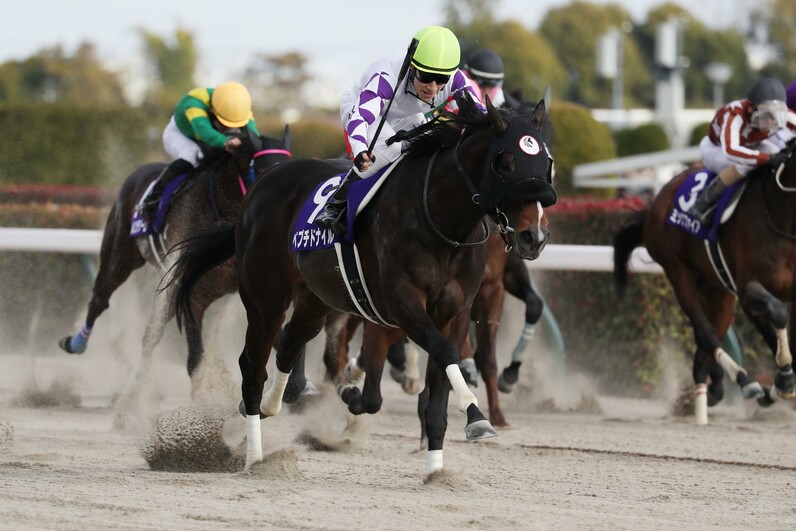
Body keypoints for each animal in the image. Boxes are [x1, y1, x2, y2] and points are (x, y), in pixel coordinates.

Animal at [59, 129, 290, 402]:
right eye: (263, 168)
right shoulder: (192, 294)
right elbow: (195, 359)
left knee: (151, 331)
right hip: (119, 256)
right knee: (102, 301)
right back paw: (80, 347)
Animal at [171, 92, 552, 474]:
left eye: (546, 161)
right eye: (505, 162)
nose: (533, 236)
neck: (440, 222)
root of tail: (260, 186)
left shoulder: (453, 313)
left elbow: (434, 386)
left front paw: (437, 470)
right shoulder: (404, 304)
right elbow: (442, 354)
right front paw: (475, 414)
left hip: (315, 300)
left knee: (290, 344)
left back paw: (273, 406)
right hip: (267, 298)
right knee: (253, 365)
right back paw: (255, 457)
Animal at [616, 140, 796, 424]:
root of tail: (657, 200)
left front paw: (781, 384)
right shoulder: (748, 288)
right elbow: (777, 314)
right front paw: (783, 381)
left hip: (717, 289)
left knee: (709, 336)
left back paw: (712, 389)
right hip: (677, 271)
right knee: (706, 332)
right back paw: (744, 381)